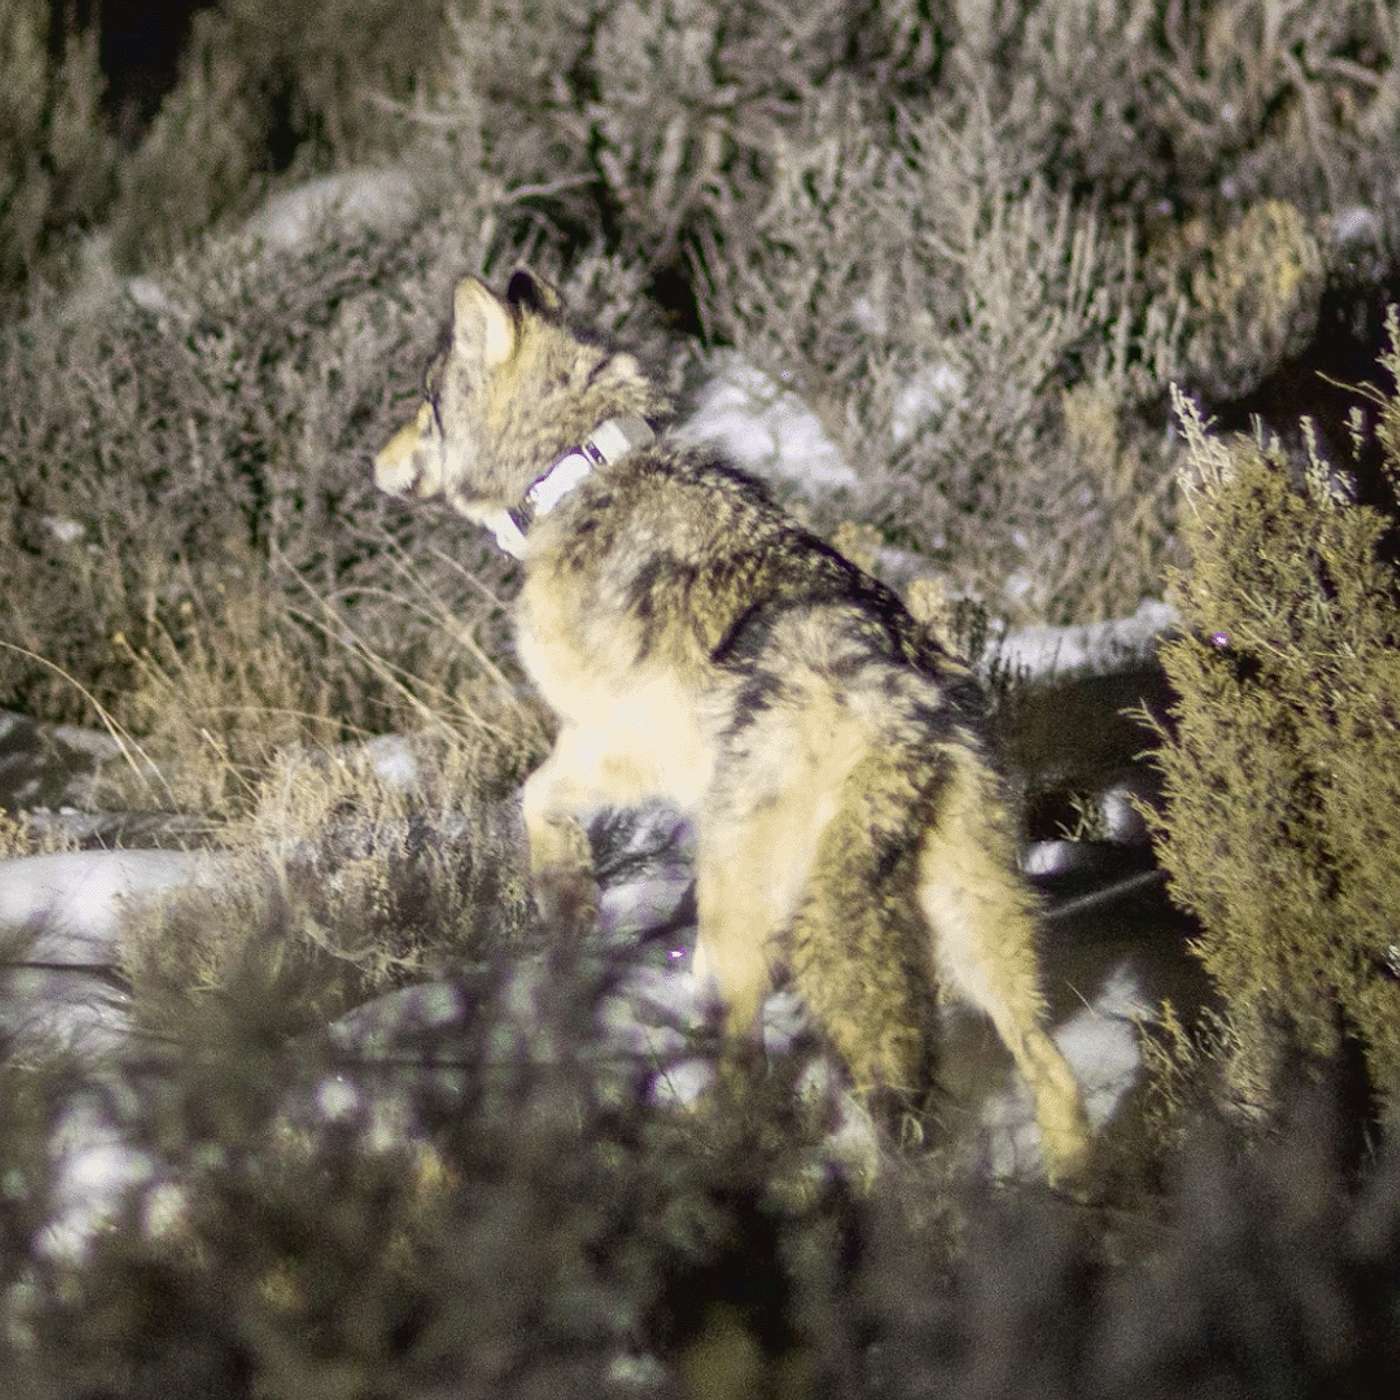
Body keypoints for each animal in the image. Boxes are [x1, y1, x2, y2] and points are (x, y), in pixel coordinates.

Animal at [373, 269, 1090, 1180]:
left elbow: (535, 797)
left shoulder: (620, 745)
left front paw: (567, 896)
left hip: (746, 900)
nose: (372, 460)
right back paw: (1070, 1179)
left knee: (749, 1064)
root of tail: (891, 713)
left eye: (425, 407)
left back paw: (706, 1145)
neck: (577, 470)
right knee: (1046, 1062)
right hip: (975, 927)